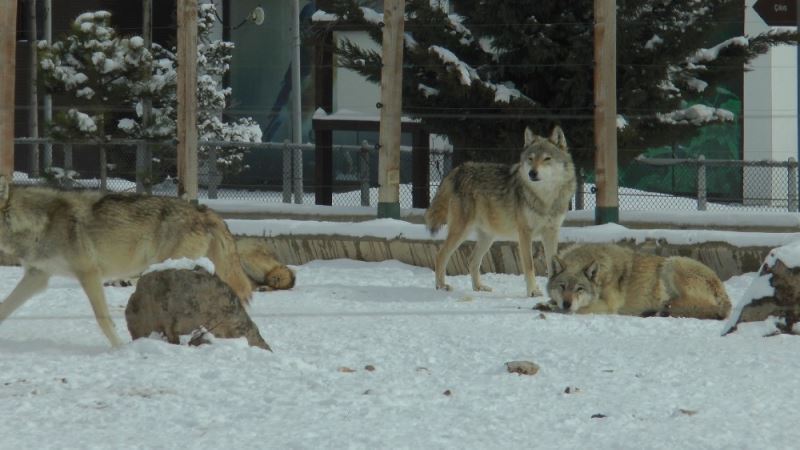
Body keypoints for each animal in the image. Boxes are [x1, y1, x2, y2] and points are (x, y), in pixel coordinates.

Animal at [0, 178, 252, 346]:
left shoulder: (89, 273)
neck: (40, 224)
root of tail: (203, 210)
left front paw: (119, 348)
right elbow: (4, 308)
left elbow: (103, 319)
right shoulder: (37, 277)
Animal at [424, 125, 576, 298]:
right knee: (440, 255)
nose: (532, 173)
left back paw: (479, 287)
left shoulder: (552, 233)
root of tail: (458, 169)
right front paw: (533, 291)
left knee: (472, 260)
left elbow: (552, 265)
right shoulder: (525, 233)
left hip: (488, 237)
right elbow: (529, 265)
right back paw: (441, 286)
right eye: (530, 159)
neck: (545, 198)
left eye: (547, 159)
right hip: (461, 232)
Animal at [544, 243, 732, 320]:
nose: (566, 303)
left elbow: (578, 309)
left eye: (579, 289)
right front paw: (548, 304)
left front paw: (554, 309)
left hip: (672, 263)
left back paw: (663, 308)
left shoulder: (608, 306)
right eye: (562, 287)